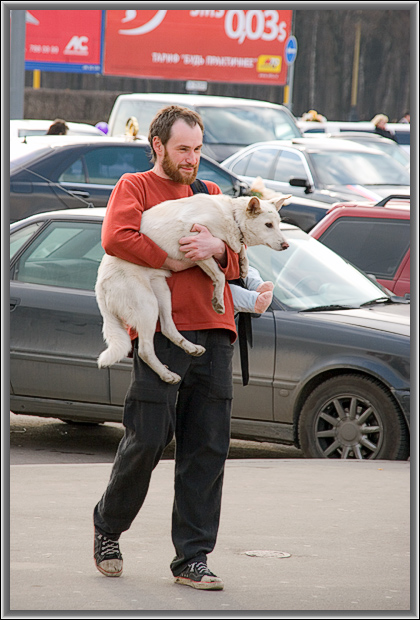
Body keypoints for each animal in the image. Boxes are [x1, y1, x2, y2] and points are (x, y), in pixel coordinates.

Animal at [96, 193, 288, 382]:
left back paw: (191, 348)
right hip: (146, 306)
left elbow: (239, 250)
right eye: (268, 225)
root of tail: (99, 285)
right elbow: (220, 275)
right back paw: (167, 375)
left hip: (162, 294)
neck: (232, 216)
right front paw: (218, 301)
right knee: (145, 350)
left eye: (278, 224)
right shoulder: (195, 242)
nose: (286, 246)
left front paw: (243, 265)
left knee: (167, 328)